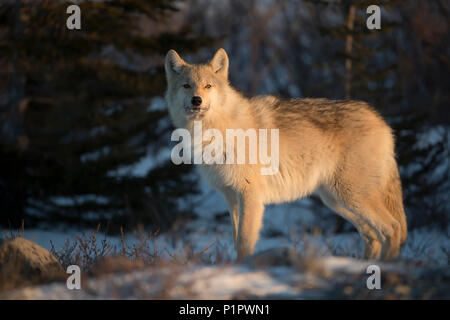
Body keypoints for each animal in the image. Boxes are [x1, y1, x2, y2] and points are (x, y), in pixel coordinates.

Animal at [163, 48, 406, 262]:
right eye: (187, 85)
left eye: (208, 86)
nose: (196, 100)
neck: (215, 130)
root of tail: (381, 120)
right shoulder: (231, 197)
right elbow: (235, 238)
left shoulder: (250, 194)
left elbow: (244, 240)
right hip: (337, 201)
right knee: (372, 235)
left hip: (351, 196)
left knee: (392, 228)